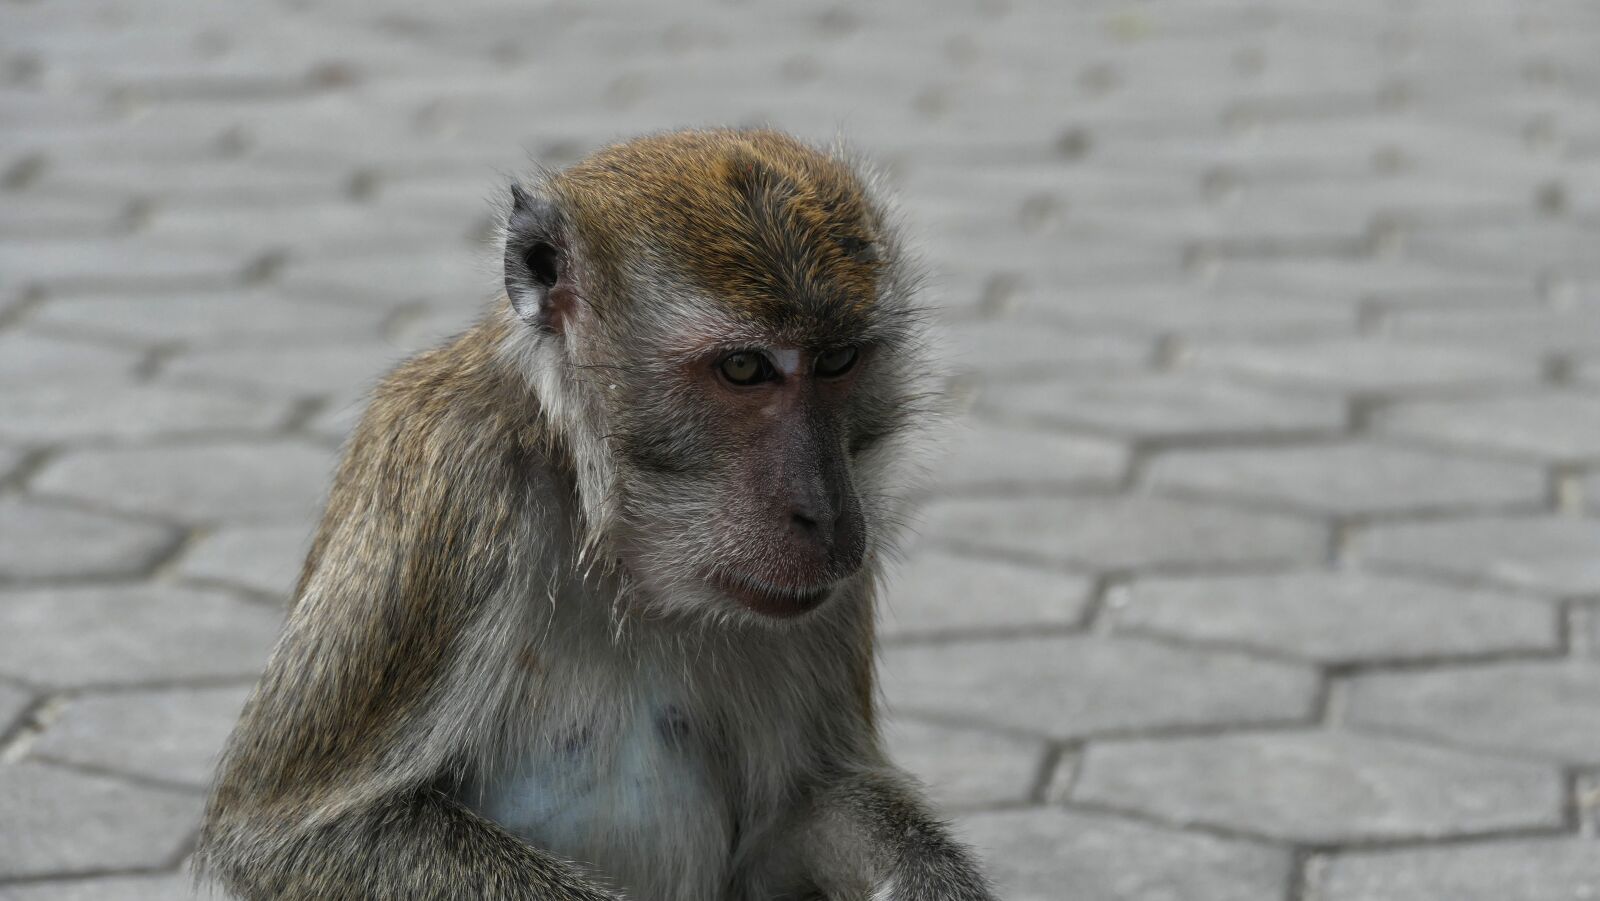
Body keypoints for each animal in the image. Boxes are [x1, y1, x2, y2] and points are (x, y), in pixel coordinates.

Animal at [195, 128, 994, 901]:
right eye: (745, 368)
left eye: (837, 362)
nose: (824, 513)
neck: (605, 531)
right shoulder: (460, 489)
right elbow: (298, 833)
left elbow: (801, 810)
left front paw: (929, 875)